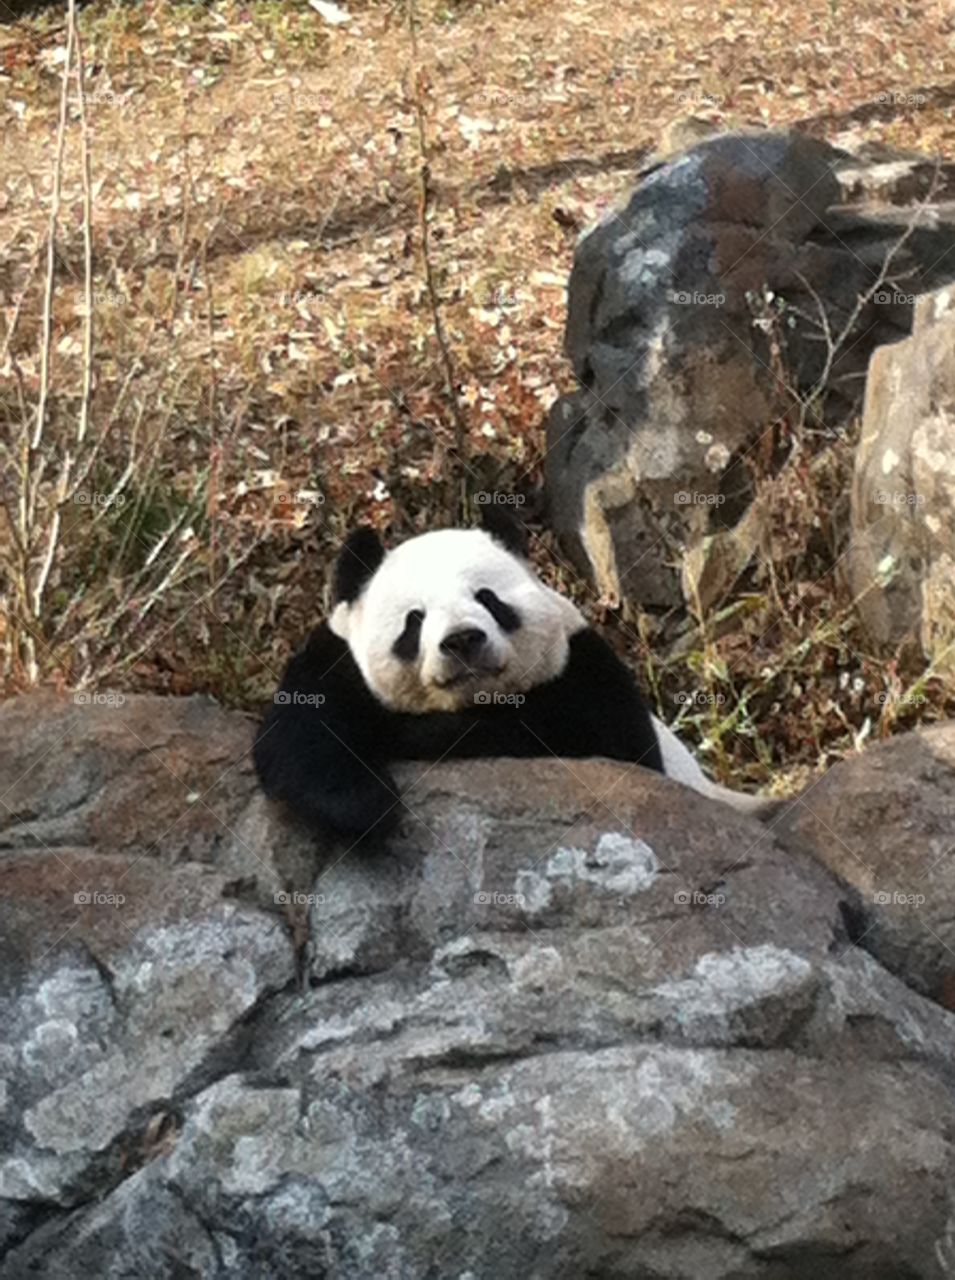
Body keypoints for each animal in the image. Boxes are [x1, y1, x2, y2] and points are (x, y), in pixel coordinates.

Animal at [253, 513, 770, 838]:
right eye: (414, 620)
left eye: (487, 598)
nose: (462, 640)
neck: (472, 703)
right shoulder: (334, 662)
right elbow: (302, 737)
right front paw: (368, 809)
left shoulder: (585, 666)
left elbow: (609, 748)